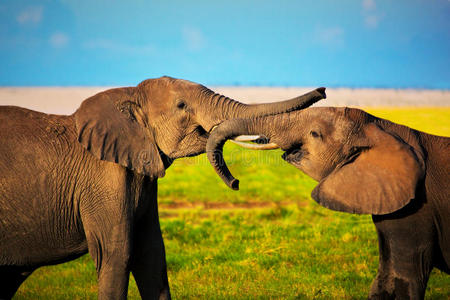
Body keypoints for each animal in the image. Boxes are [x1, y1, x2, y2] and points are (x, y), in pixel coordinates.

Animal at [0, 77, 326, 300]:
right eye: (181, 106)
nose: (323, 90)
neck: (127, 96)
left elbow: (152, 252)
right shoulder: (103, 180)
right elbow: (117, 252)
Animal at [207, 106, 450, 298]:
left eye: (315, 134)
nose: (236, 183)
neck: (384, 128)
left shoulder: (418, 206)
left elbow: (404, 278)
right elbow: (385, 279)